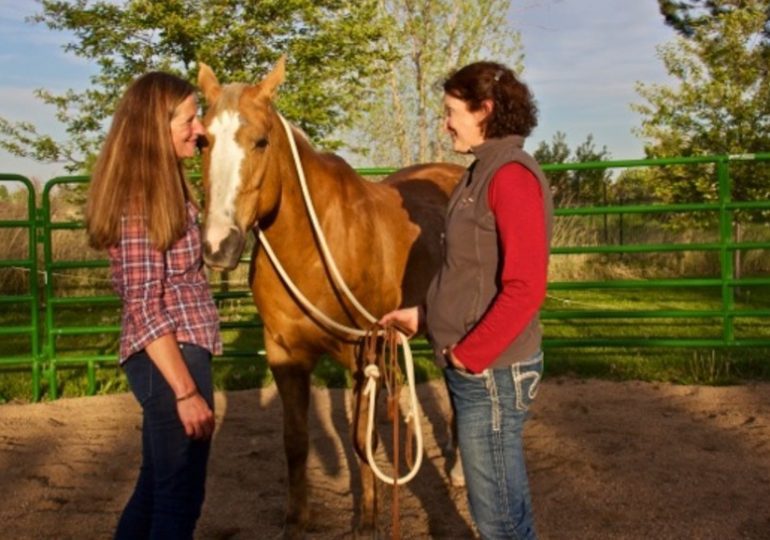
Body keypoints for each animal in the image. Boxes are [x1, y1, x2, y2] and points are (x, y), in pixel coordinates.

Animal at [198, 57, 462, 536]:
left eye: (261, 141)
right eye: (202, 141)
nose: (218, 246)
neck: (315, 249)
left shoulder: (363, 353)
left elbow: (362, 441)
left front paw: (369, 521)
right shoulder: (285, 354)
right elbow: (295, 442)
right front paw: (296, 520)